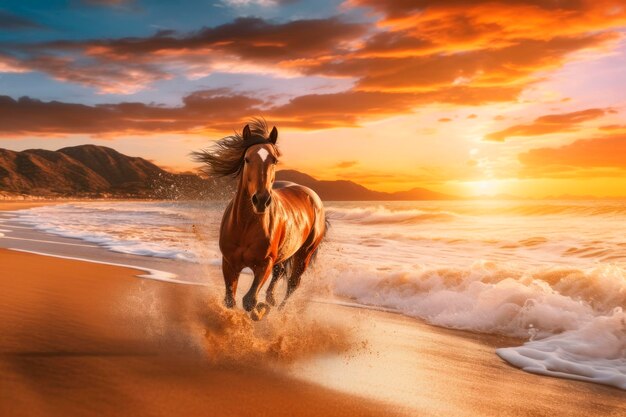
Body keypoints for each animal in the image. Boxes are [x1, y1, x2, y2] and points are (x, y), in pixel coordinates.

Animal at [190, 118, 326, 320]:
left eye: (274, 160)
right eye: (247, 159)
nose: (261, 200)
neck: (246, 225)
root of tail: (312, 196)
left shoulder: (264, 264)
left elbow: (249, 300)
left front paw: (260, 311)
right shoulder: (229, 263)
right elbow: (230, 300)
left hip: (304, 255)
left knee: (292, 284)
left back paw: (278, 312)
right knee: (280, 272)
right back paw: (270, 299)